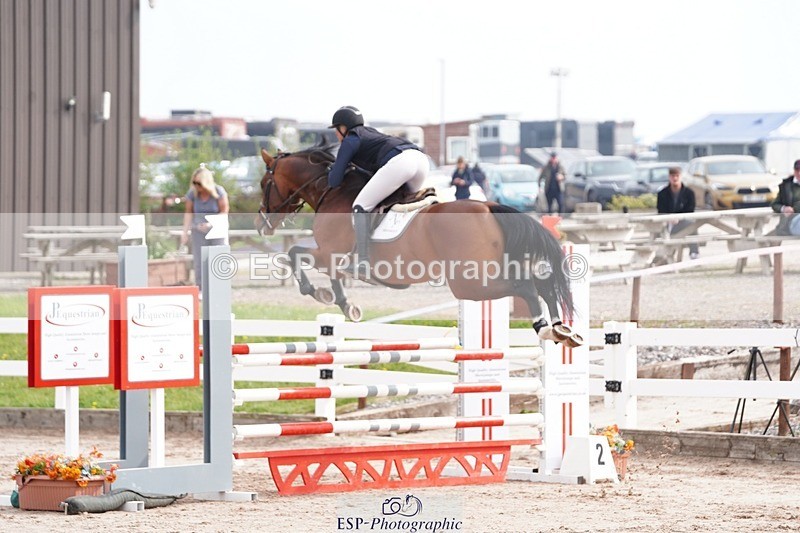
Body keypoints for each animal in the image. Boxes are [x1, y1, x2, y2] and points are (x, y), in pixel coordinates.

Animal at [256, 145, 583, 348]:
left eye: (263, 184)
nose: (262, 224)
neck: (331, 191)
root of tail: (488, 206)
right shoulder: (330, 257)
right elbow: (313, 265)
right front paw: (346, 304)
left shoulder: (327, 253)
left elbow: (293, 254)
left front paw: (320, 294)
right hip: (489, 270)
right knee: (542, 282)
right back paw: (561, 329)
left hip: (470, 282)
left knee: (526, 286)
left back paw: (544, 328)